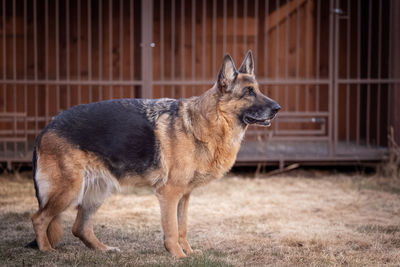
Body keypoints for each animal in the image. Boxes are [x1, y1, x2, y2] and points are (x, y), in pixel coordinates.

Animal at [28, 51, 280, 258]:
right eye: (248, 92)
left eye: (258, 90)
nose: (277, 108)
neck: (205, 123)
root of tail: (46, 127)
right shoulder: (169, 194)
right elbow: (172, 229)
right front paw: (178, 256)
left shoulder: (184, 196)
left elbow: (182, 227)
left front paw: (188, 253)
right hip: (69, 191)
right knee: (39, 218)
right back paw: (47, 250)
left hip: (97, 191)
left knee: (79, 227)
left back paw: (104, 250)